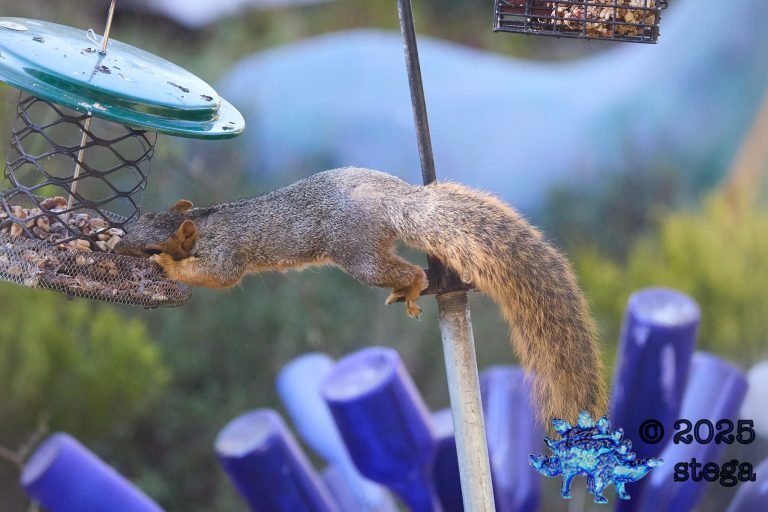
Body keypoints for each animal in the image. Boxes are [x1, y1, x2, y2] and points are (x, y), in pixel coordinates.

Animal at [116, 167, 607, 425]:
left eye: (150, 247)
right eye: (138, 219)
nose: (117, 247)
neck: (207, 222)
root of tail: (399, 201)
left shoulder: (226, 254)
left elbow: (218, 275)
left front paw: (170, 268)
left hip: (357, 254)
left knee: (408, 270)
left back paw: (411, 287)